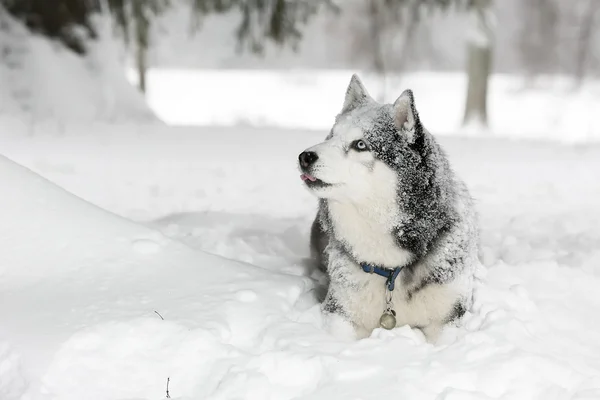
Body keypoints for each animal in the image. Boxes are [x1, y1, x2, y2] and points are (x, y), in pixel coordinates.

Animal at [298, 76, 478, 344]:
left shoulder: (448, 319)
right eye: (331, 136)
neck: (389, 268)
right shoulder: (340, 313)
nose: (305, 157)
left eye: (360, 144)